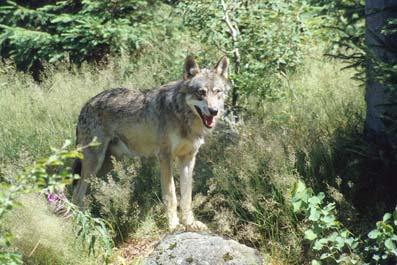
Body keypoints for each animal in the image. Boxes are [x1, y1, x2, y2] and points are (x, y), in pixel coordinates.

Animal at [72, 55, 230, 229]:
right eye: (201, 93)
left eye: (217, 92)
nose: (214, 111)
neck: (181, 115)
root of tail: (85, 106)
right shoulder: (164, 157)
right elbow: (171, 196)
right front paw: (173, 225)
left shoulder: (188, 158)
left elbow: (187, 197)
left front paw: (190, 222)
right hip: (94, 163)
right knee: (77, 195)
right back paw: (82, 224)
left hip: (105, 166)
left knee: (81, 193)